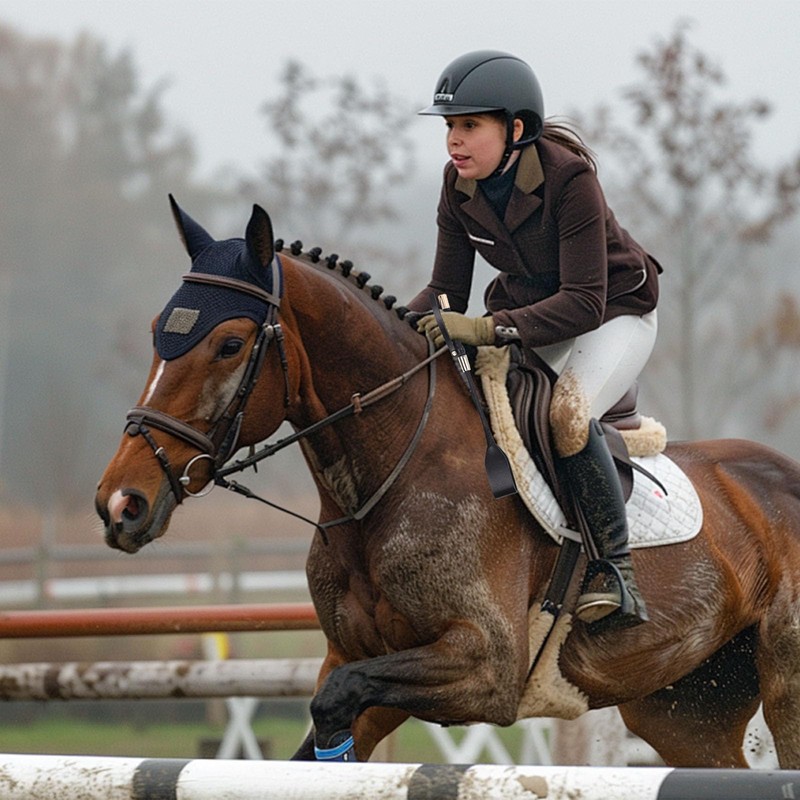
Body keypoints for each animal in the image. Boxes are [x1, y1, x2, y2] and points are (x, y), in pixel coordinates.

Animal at [95, 197, 800, 768]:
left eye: (230, 344)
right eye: (158, 332)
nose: (121, 503)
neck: (387, 483)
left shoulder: (485, 669)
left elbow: (336, 701)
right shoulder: (357, 658)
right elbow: (325, 721)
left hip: (781, 685)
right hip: (683, 707)